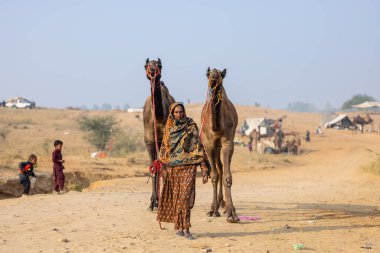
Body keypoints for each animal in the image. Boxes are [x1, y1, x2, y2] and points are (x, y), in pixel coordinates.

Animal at [200, 66, 239, 221]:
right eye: (208, 74)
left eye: (220, 75)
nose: (213, 78)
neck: (216, 127)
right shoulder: (209, 145)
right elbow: (214, 176)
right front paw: (212, 209)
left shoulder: (228, 143)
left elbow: (228, 176)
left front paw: (232, 213)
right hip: (215, 148)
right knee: (219, 168)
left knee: (222, 169)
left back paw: (224, 204)